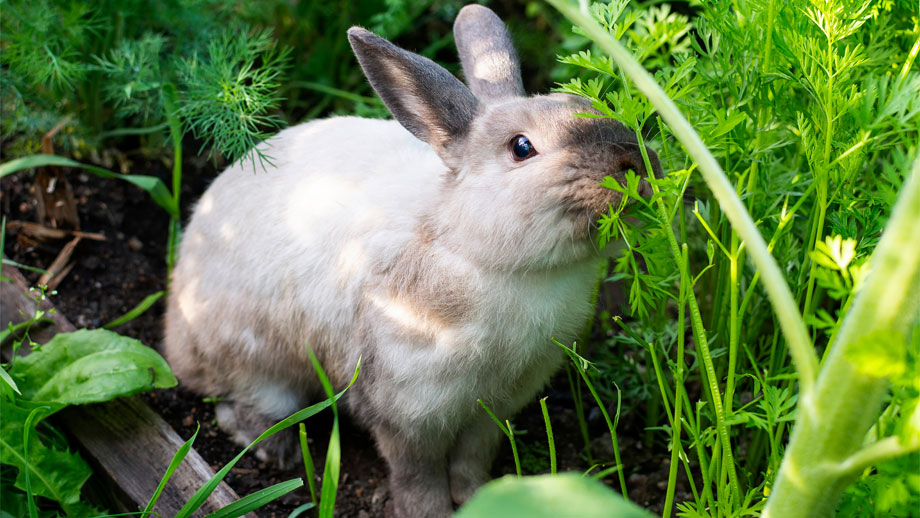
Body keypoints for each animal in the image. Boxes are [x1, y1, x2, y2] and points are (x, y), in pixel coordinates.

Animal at [164, 4, 660, 518]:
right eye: (522, 148)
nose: (636, 165)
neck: (482, 256)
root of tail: (176, 329)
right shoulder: (410, 411)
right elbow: (415, 472)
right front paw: (432, 511)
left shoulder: (492, 411)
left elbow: (471, 459)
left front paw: (479, 497)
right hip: (259, 366)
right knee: (242, 404)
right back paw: (273, 450)